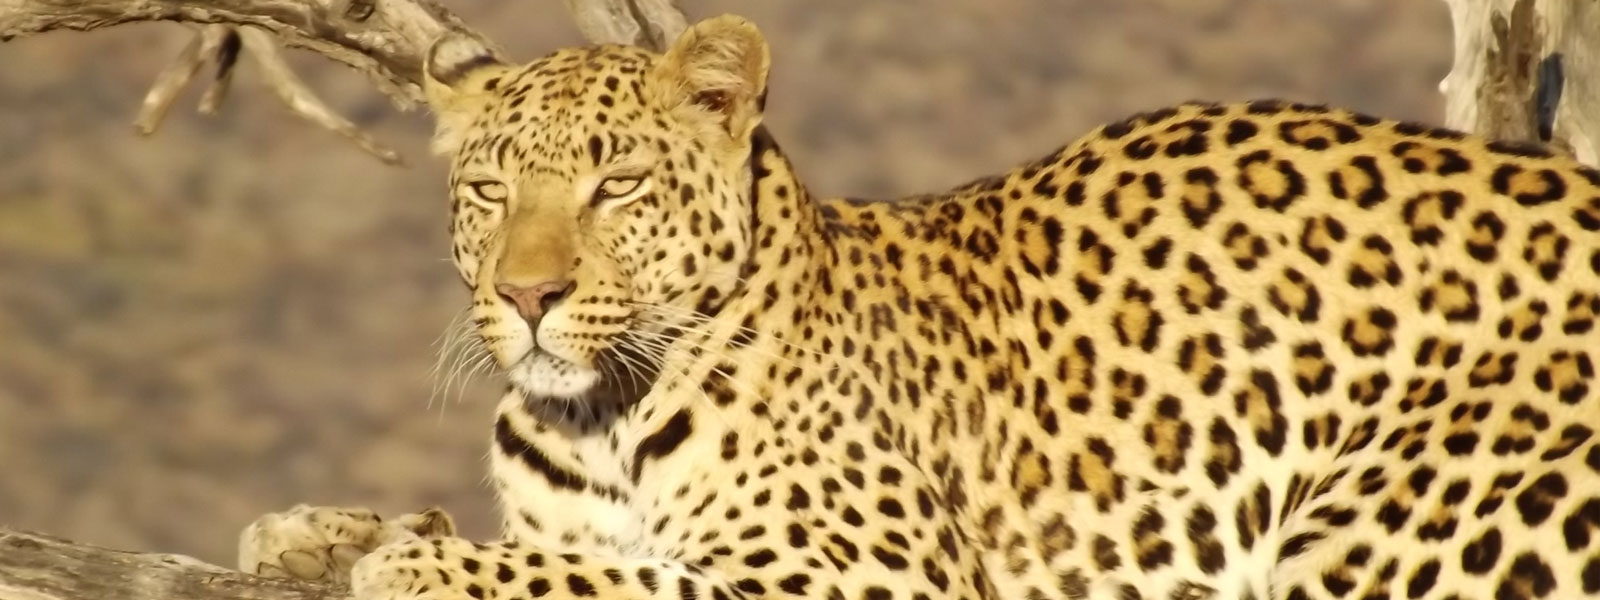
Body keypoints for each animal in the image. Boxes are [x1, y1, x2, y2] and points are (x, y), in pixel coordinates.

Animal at [238, 14, 1600, 600]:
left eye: (615, 185)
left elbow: (614, 579)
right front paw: (313, 532)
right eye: (488, 189)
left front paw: (417, 559)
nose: (526, 295)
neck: (597, 416)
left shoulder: (861, 576)